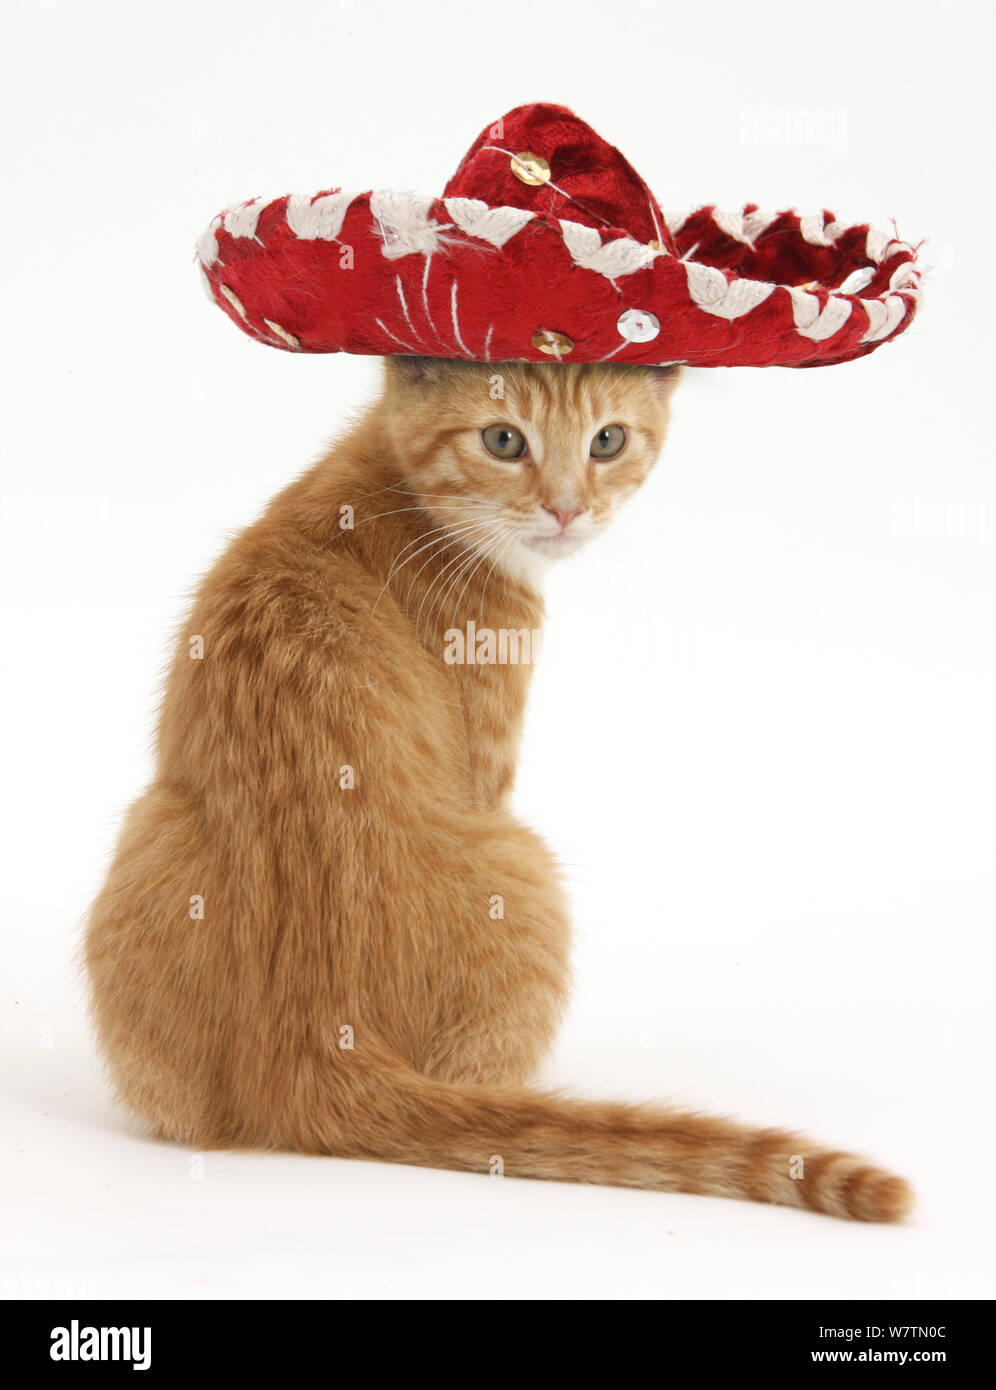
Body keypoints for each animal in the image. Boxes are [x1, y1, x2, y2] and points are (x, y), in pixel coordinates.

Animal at [85, 355, 911, 1217]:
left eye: (607, 440)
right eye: (504, 440)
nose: (567, 508)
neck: (399, 496)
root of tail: (312, 1044)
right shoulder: (490, 757)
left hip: (147, 833)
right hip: (526, 868)